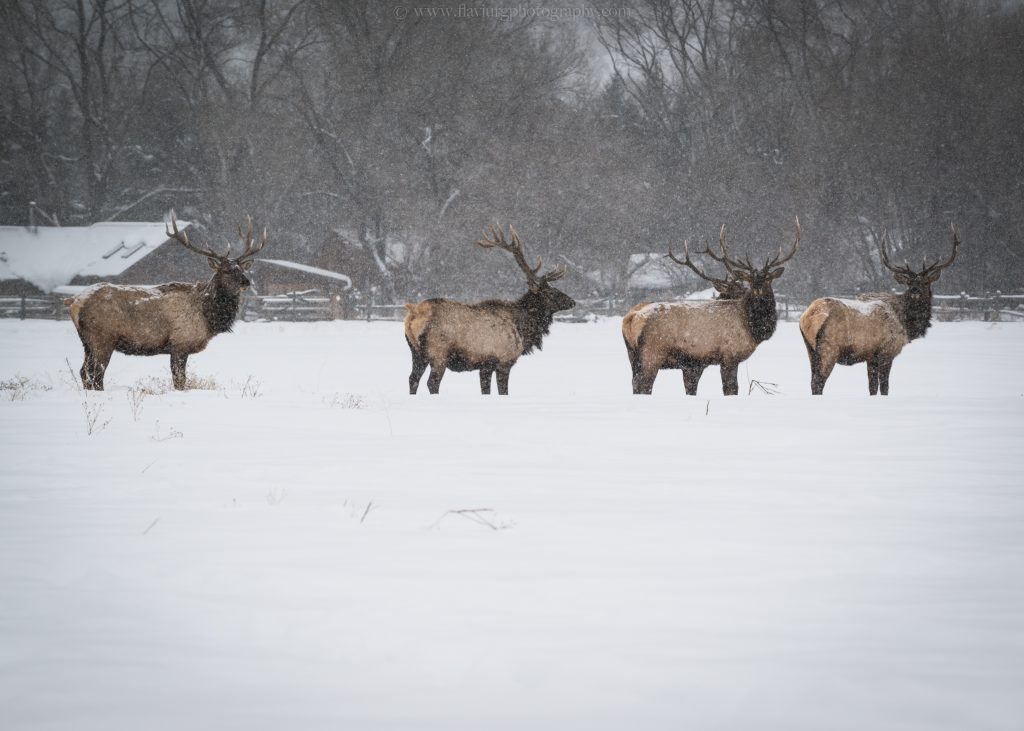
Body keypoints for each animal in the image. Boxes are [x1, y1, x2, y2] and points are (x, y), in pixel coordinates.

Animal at [61, 211, 266, 387]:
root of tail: (74, 301)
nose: (246, 282)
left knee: (84, 372)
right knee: (96, 374)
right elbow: (180, 382)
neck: (208, 317)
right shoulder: (180, 344)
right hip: (102, 339)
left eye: (241, 268)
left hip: (87, 342)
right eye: (226, 271)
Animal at [401, 222, 577, 393]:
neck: (523, 329)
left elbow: (485, 389)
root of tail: (414, 313)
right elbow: (503, 391)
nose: (572, 301)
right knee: (432, 383)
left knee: (412, 378)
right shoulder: (504, 360)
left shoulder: (485, 365)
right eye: (550, 292)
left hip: (416, 353)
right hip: (438, 353)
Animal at [618, 218, 802, 393]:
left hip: (632, 355)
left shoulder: (696, 364)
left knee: (635, 383)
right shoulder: (729, 354)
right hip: (652, 353)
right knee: (644, 385)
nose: (757, 287)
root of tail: (632, 318)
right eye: (749, 279)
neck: (751, 327)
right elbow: (731, 389)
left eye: (768, 278)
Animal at [798, 223, 958, 393]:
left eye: (926, 282)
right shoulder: (886, 352)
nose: (915, 290)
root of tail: (809, 316)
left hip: (810, 348)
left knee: (812, 380)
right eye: (909, 282)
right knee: (818, 382)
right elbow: (885, 387)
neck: (905, 324)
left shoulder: (871, 357)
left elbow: (872, 387)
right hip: (829, 348)